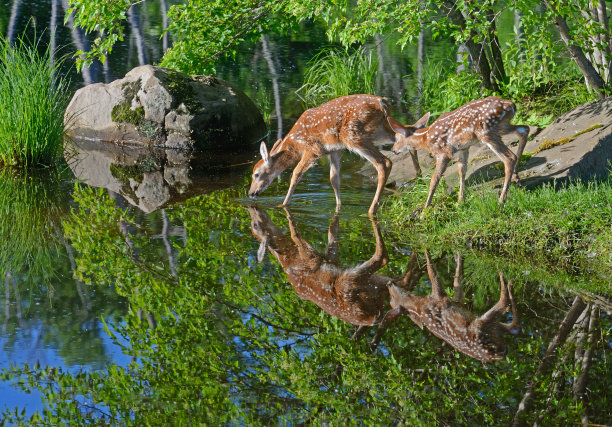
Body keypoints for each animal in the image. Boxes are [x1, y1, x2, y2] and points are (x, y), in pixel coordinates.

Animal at [249, 93, 420, 214]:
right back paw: (418, 175)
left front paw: (283, 204)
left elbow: (296, 173)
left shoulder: (314, 149)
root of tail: (382, 103)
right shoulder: (335, 150)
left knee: (384, 162)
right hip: (377, 131)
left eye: (256, 174)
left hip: (353, 135)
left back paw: (372, 210)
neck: (295, 144)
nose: (251, 193)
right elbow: (334, 179)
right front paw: (338, 206)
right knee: (404, 135)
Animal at [382, 252, 520, 362]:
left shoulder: (456, 301)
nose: (388, 283)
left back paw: (509, 284)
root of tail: (495, 355)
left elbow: (457, 280)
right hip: (480, 327)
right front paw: (424, 244)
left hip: (494, 330)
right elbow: (432, 272)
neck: (419, 305)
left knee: (515, 328)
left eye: (390, 300)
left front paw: (458, 256)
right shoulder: (440, 297)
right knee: (505, 307)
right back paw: (505, 278)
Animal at [392, 96, 524, 211]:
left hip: (486, 132)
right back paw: (516, 178)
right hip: (501, 127)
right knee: (523, 129)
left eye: (396, 138)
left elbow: (434, 180)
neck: (426, 138)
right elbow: (462, 171)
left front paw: (424, 211)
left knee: (509, 157)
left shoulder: (443, 152)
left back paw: (501, 199)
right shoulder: (463, 148)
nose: (393, 150)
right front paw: (460, 201)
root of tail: (511, 105)